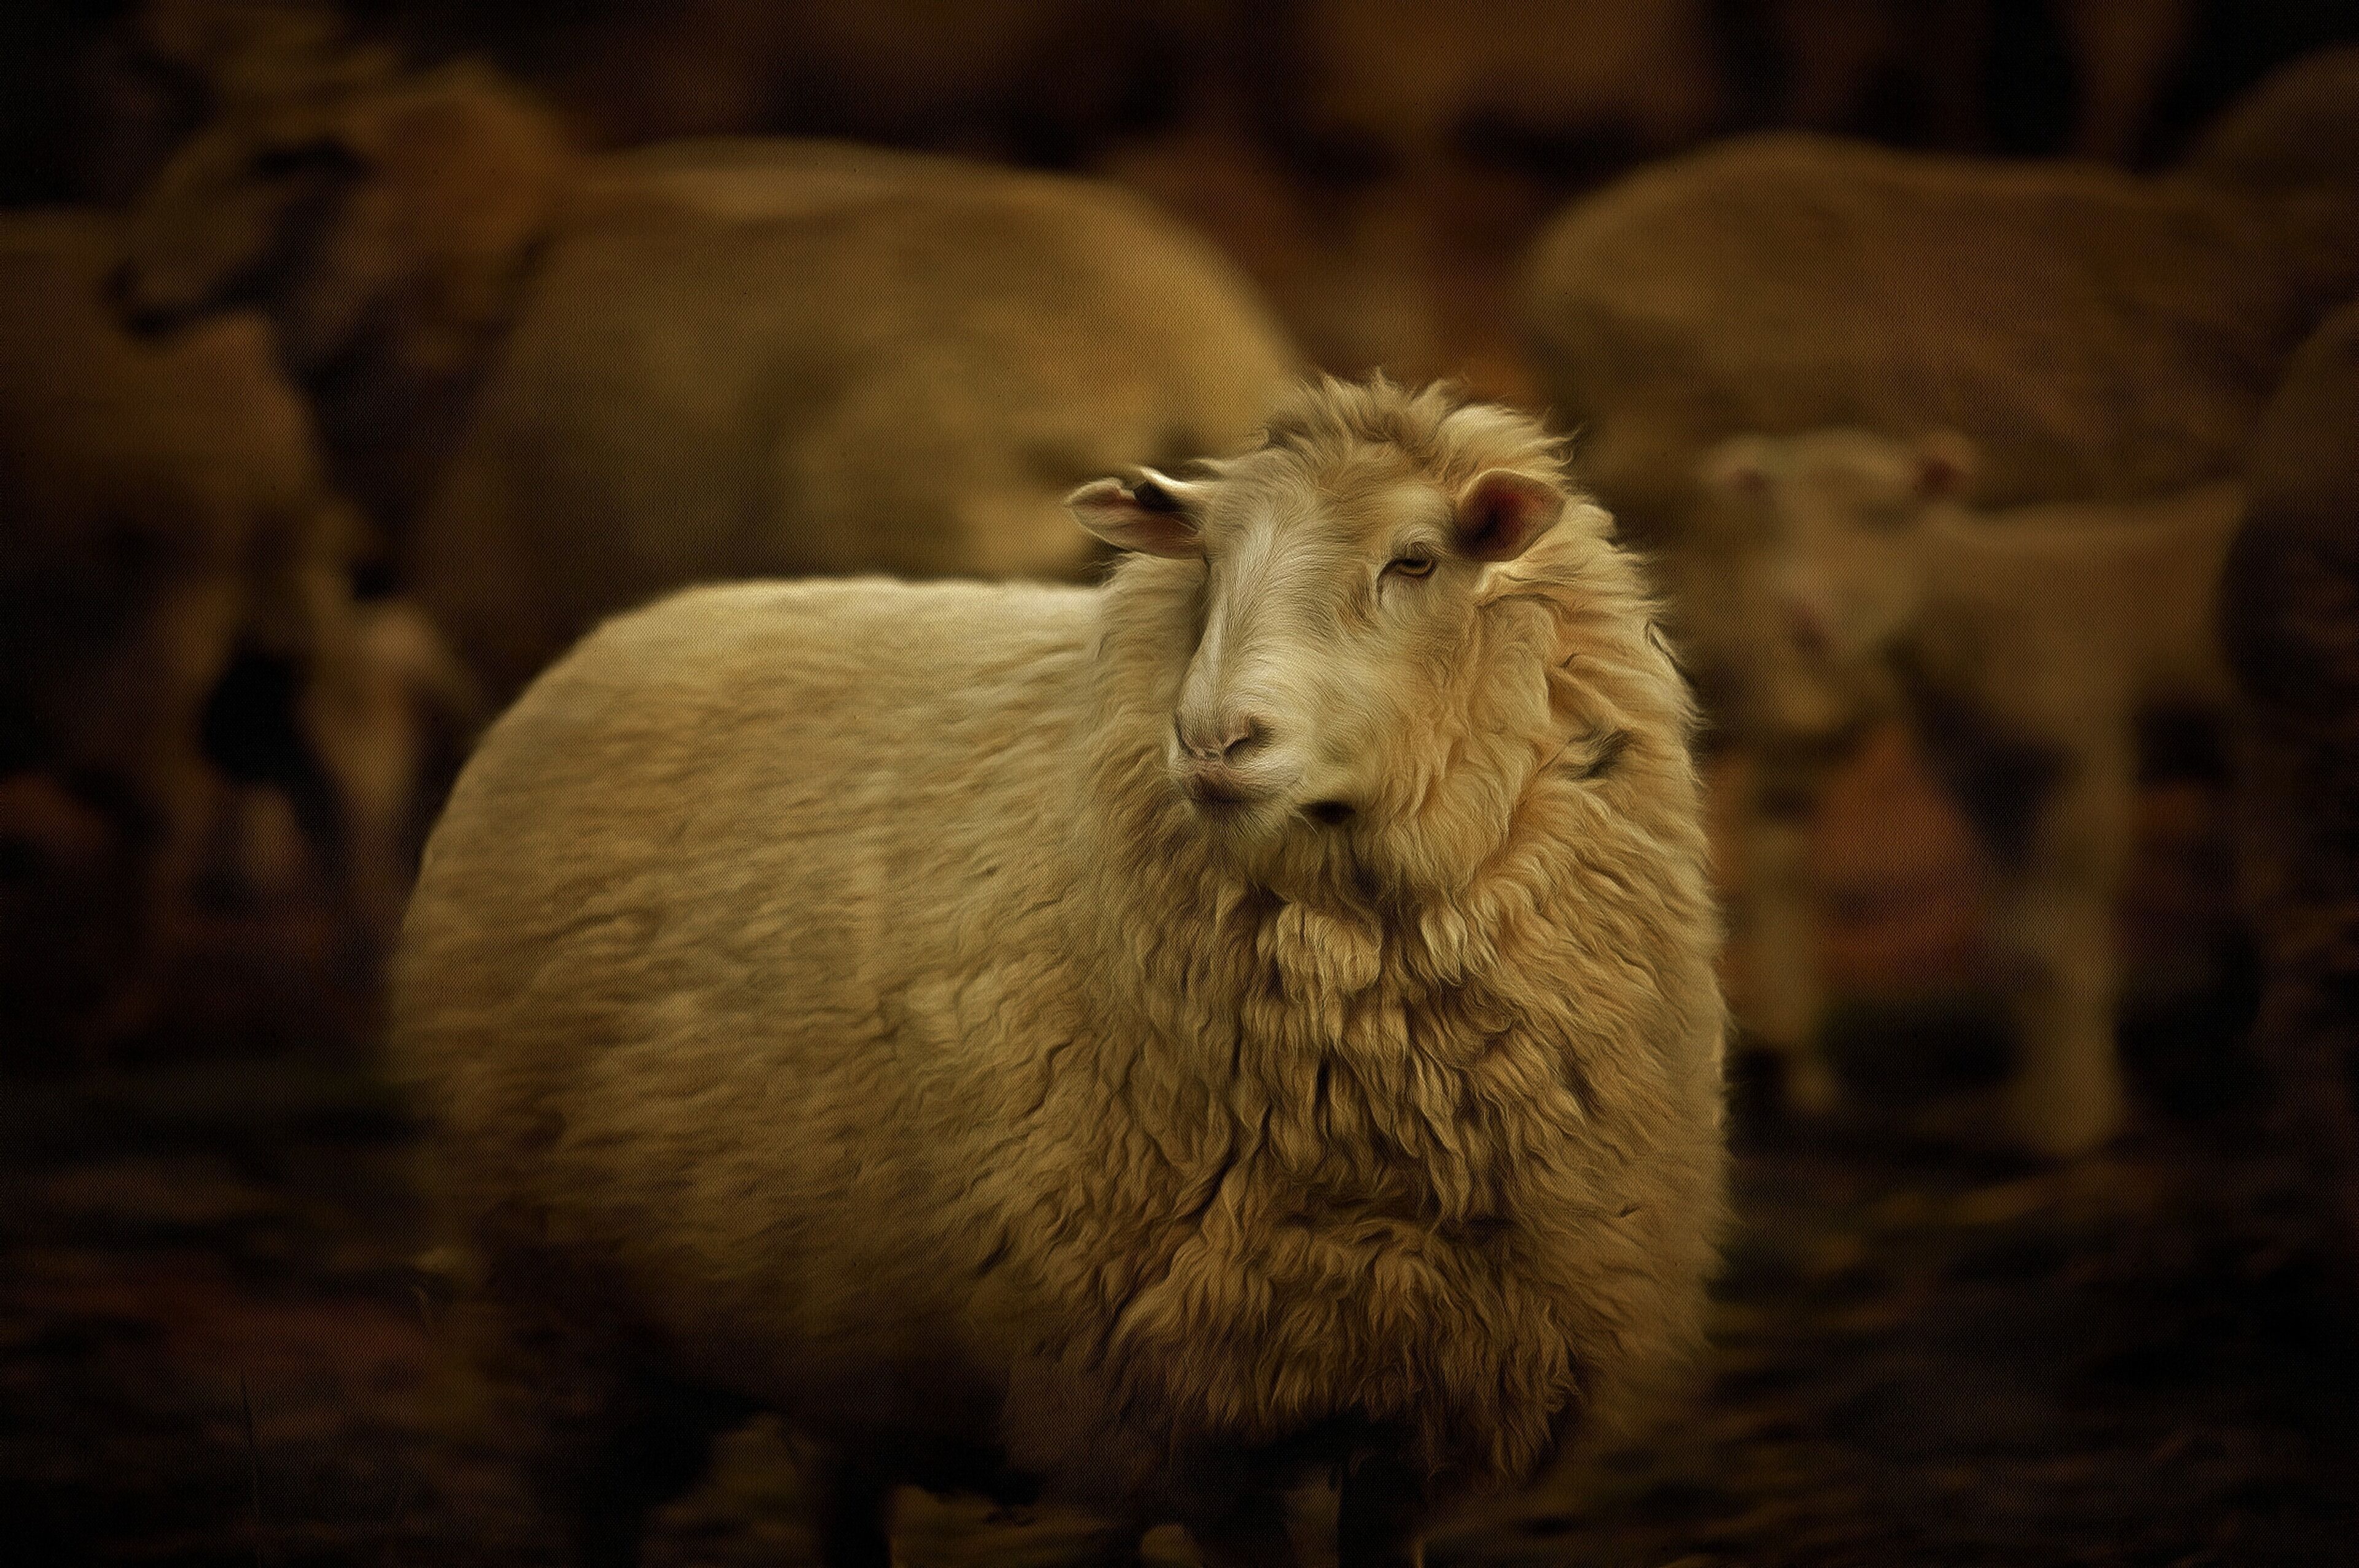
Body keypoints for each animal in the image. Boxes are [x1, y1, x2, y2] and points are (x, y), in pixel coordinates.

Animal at [389, 378, 1729, 1567]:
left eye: (1414, 560)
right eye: (1207, 566)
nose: (1216, 739)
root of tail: (608, 640)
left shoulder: (1436, 1385)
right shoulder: (1184, 1407)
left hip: (835, 1337)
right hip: (566, 1325)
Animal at [1691, 426, 2243, 1154]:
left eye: (1887, 516)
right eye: (1777, 523)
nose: (1802, 617)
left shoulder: (2084, 761)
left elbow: (2056, 943)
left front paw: (2072, 1126)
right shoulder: (1989, 783)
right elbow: (2014, 946)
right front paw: (2036, 1112)